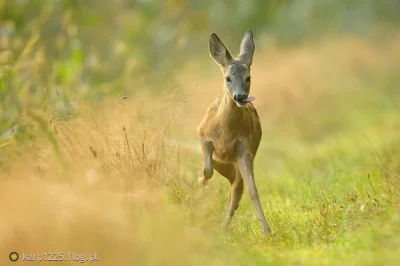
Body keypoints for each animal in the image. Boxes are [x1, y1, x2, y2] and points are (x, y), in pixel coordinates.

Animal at [197, 30, 272, 236]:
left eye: (248, 78)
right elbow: (207, 170)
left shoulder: (244, 148)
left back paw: (223, 229)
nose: (240, 97)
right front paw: (198, 185)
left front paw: (267, 230)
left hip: (240, 160)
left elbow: (253, 190)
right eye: (227, 78)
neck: (225, 133)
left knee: (236, 190)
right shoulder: (203, 135)